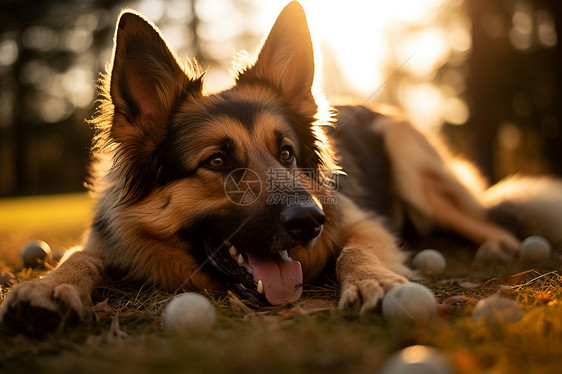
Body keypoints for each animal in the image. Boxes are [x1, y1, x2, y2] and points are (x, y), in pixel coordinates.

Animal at [1, 1, 560, 326]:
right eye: (218, 160)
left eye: (286, 153)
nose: (310, 221)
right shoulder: (104, 239)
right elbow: (80, 257)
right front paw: (46, 286)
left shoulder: (360, 220)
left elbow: (356, 249)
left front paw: (375, 279)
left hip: (411, 159)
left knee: (492, 220)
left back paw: (495, 244)